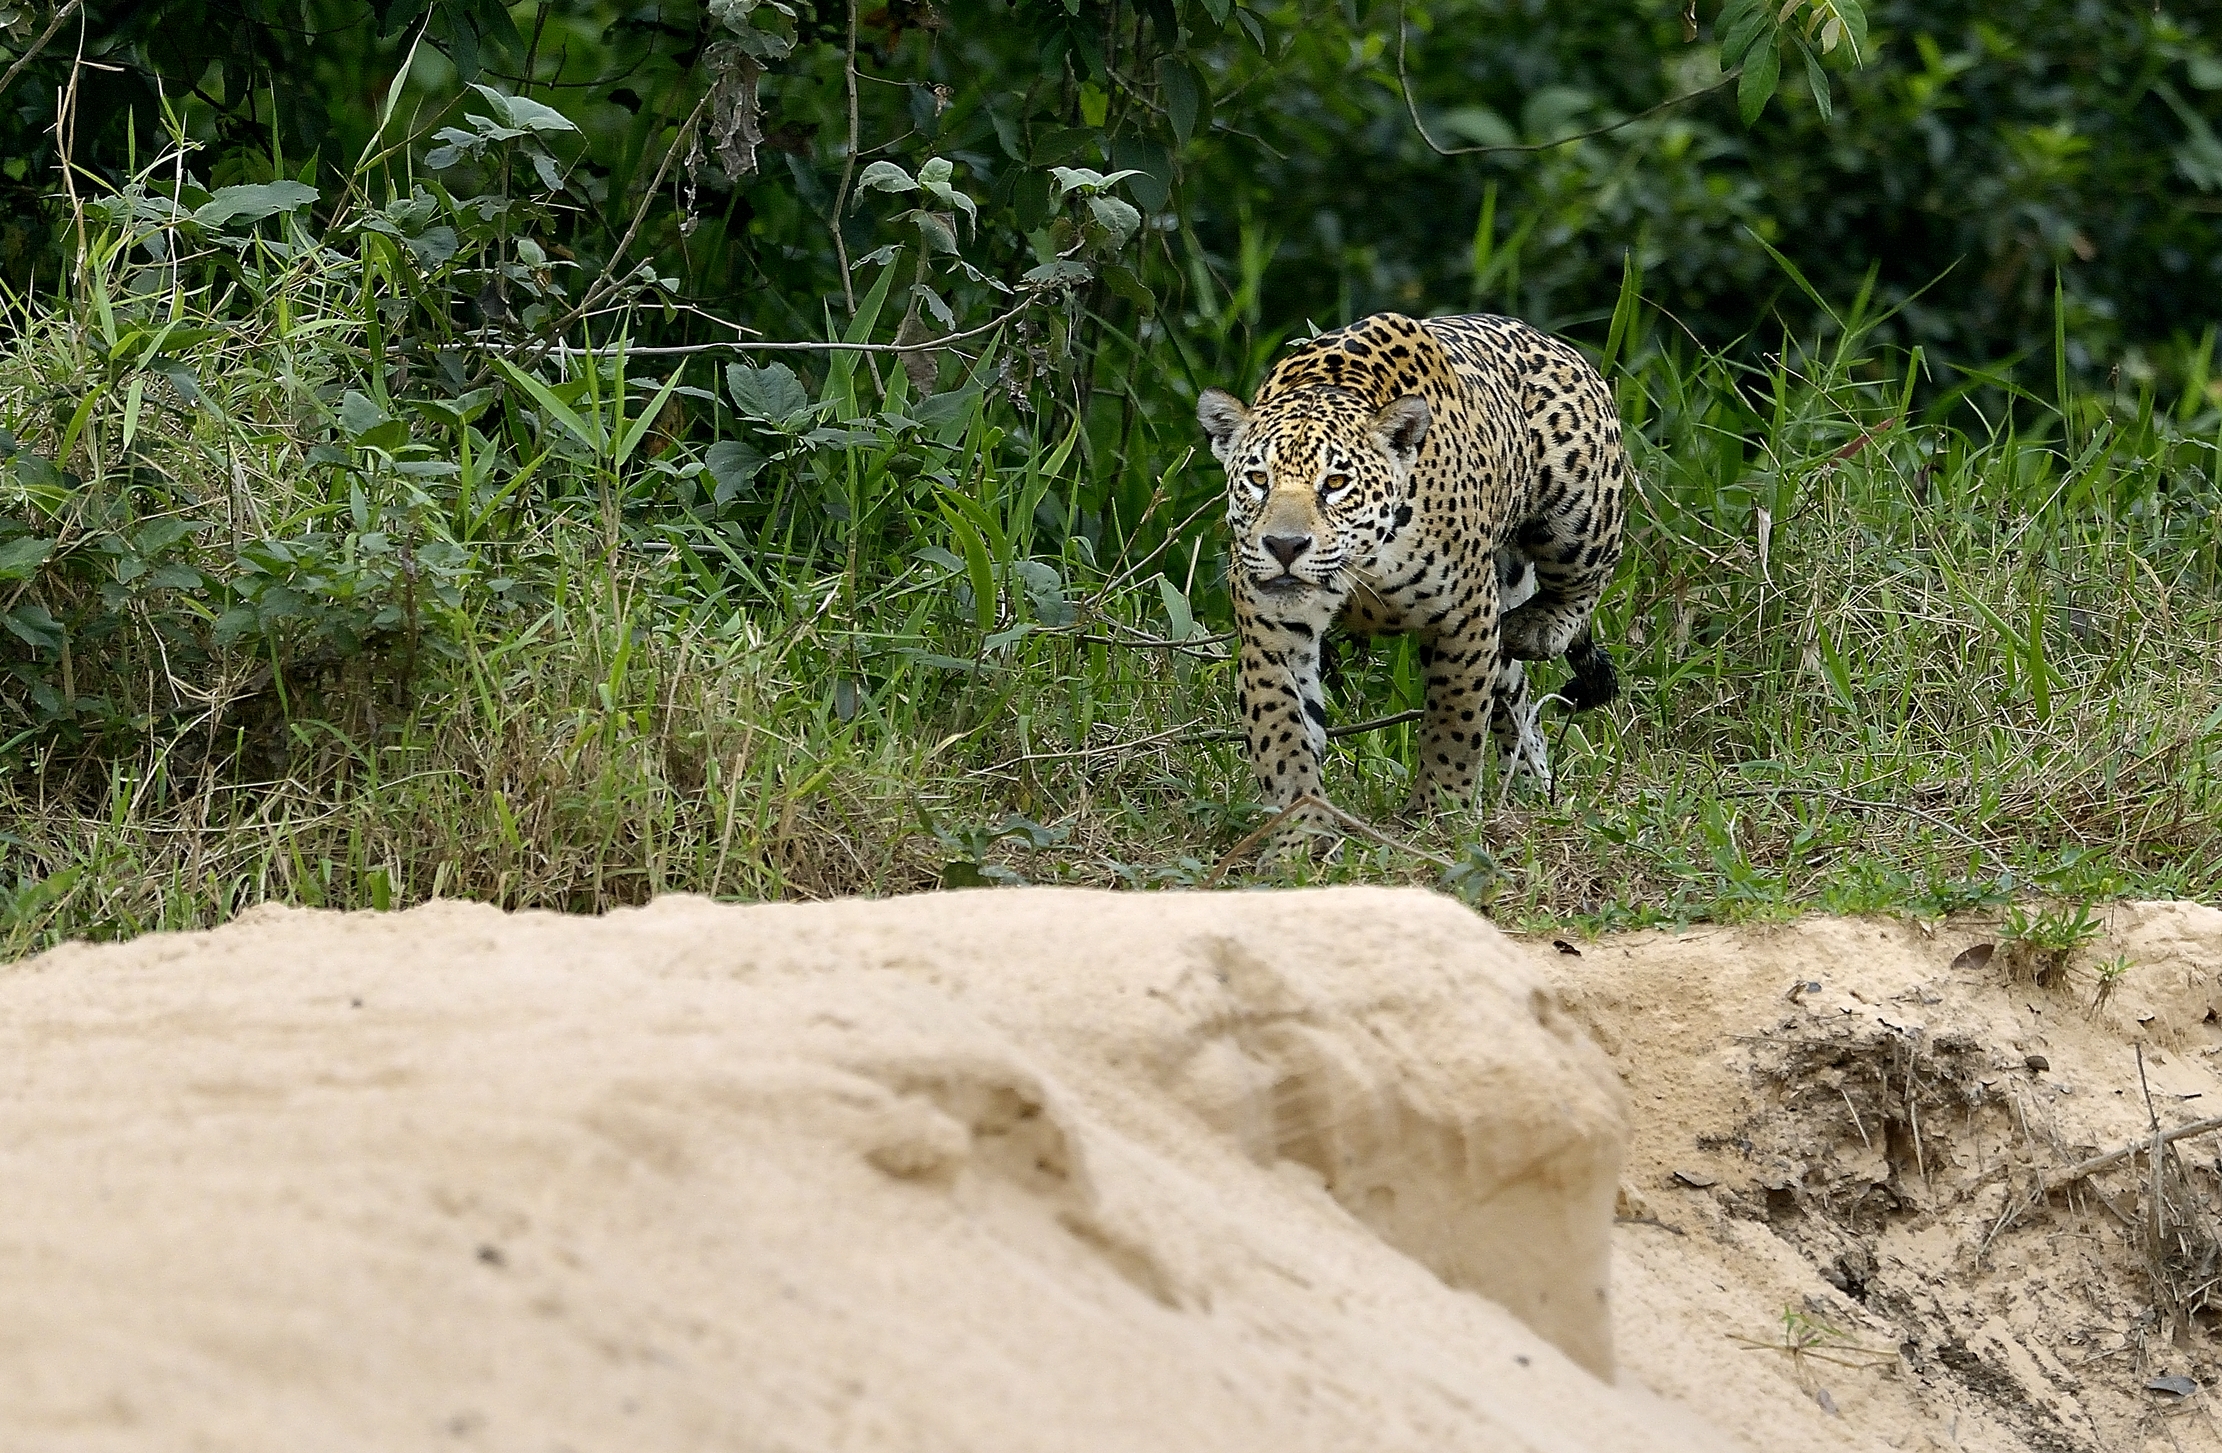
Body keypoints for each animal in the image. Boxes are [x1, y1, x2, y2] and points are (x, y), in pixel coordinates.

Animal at [1196, 310, 1627, 819]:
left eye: (1336, 483)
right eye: (1258, 479)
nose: (1285, 546)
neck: (1362, 563)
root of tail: (1553, 341)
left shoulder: (1466, 619)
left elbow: (1456, 720)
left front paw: (1440, 809)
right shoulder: (1273, 635)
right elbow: (1282, 729)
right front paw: (1300, 820)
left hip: (1578, 510)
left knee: (1585, 580)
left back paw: (1539, 627)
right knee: (1514, 693)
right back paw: (1528, 781)